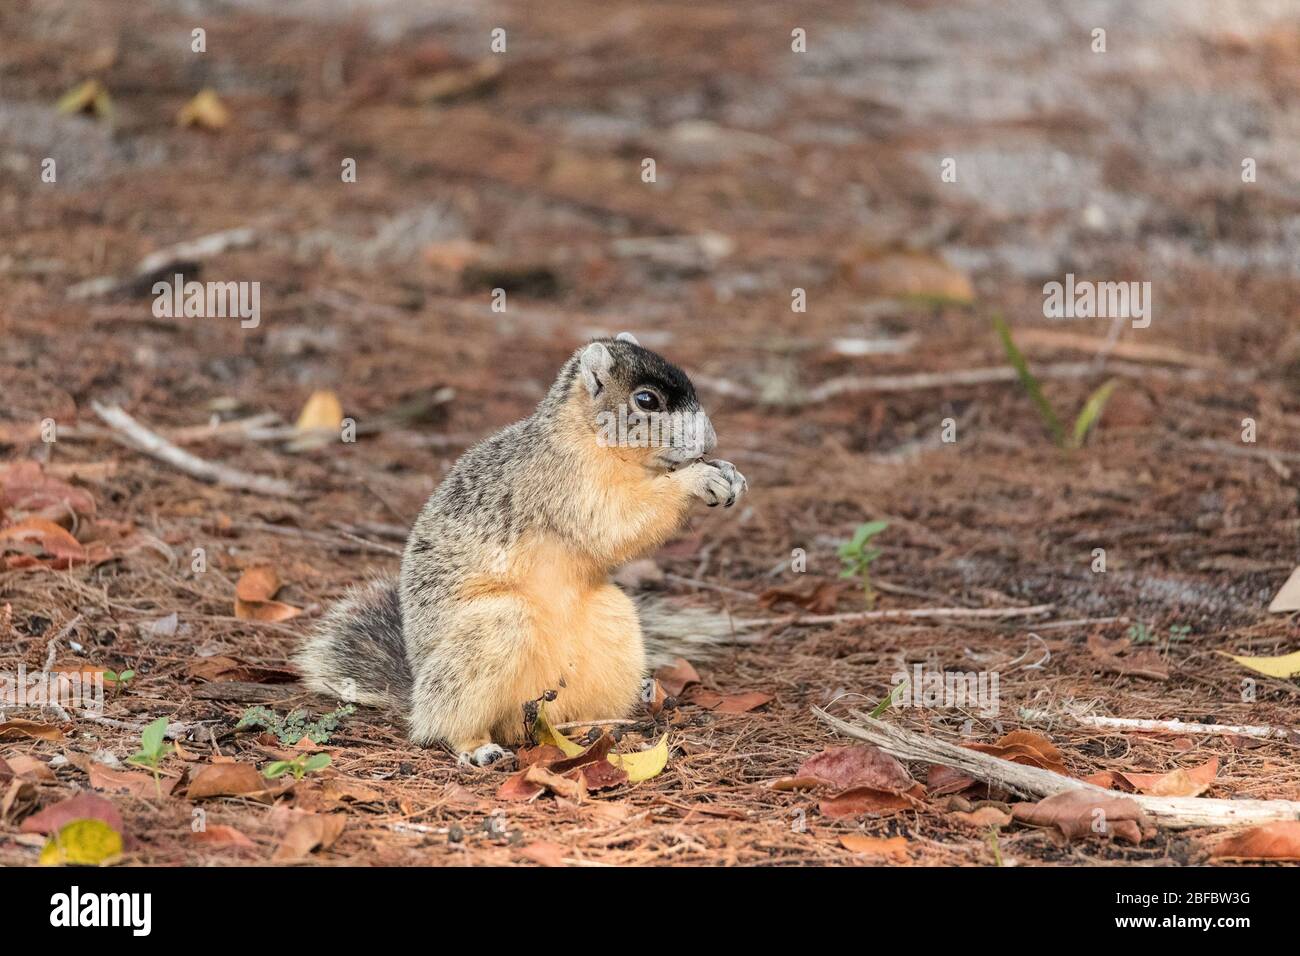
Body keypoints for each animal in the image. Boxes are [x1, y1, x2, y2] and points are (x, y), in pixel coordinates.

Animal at [296, 334, 747, 765]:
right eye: (646, 400)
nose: (709, 440)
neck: (589, 437)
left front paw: (729, 472)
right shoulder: (559, 482)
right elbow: (612, 523)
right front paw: (699, 479)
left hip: (613, 625)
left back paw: (620, 711)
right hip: (492, 632)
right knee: (443, 721)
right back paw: (476, 746)